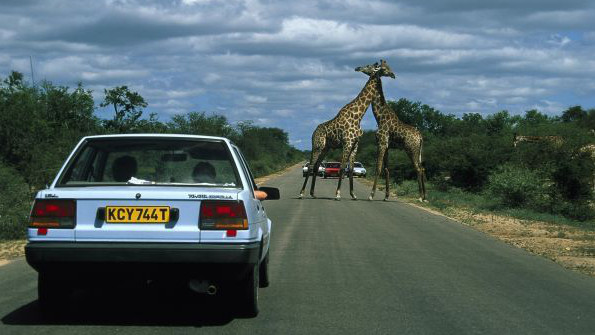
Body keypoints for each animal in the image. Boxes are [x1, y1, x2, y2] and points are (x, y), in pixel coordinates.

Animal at [298, 61, 396, 200]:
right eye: (383, 68)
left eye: (369, 65)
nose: (357, 68)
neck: (358, 115)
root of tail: (314, 132)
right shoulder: (347, 142)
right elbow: (342, 167)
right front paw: (338, 194)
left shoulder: (355, 144)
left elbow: (350, 169)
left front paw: (353, 194)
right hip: (317, 145)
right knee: (311, 166)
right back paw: (301, 193)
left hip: (326, 147)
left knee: (316, 166)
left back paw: (313, 193)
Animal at [354, 60, 428, 202]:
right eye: (384, 68)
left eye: (369, 66)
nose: (357, 67)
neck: (380, 116)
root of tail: (420, 137)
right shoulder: (387, 145)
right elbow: (387, 169)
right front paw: (386, 196)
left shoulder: (382, 142)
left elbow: (378, 168)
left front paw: (371, 195)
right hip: (418, 150)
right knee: (422, 167)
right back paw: (425, 196)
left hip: (411, 148)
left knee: (417, 168)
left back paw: (420, 197)